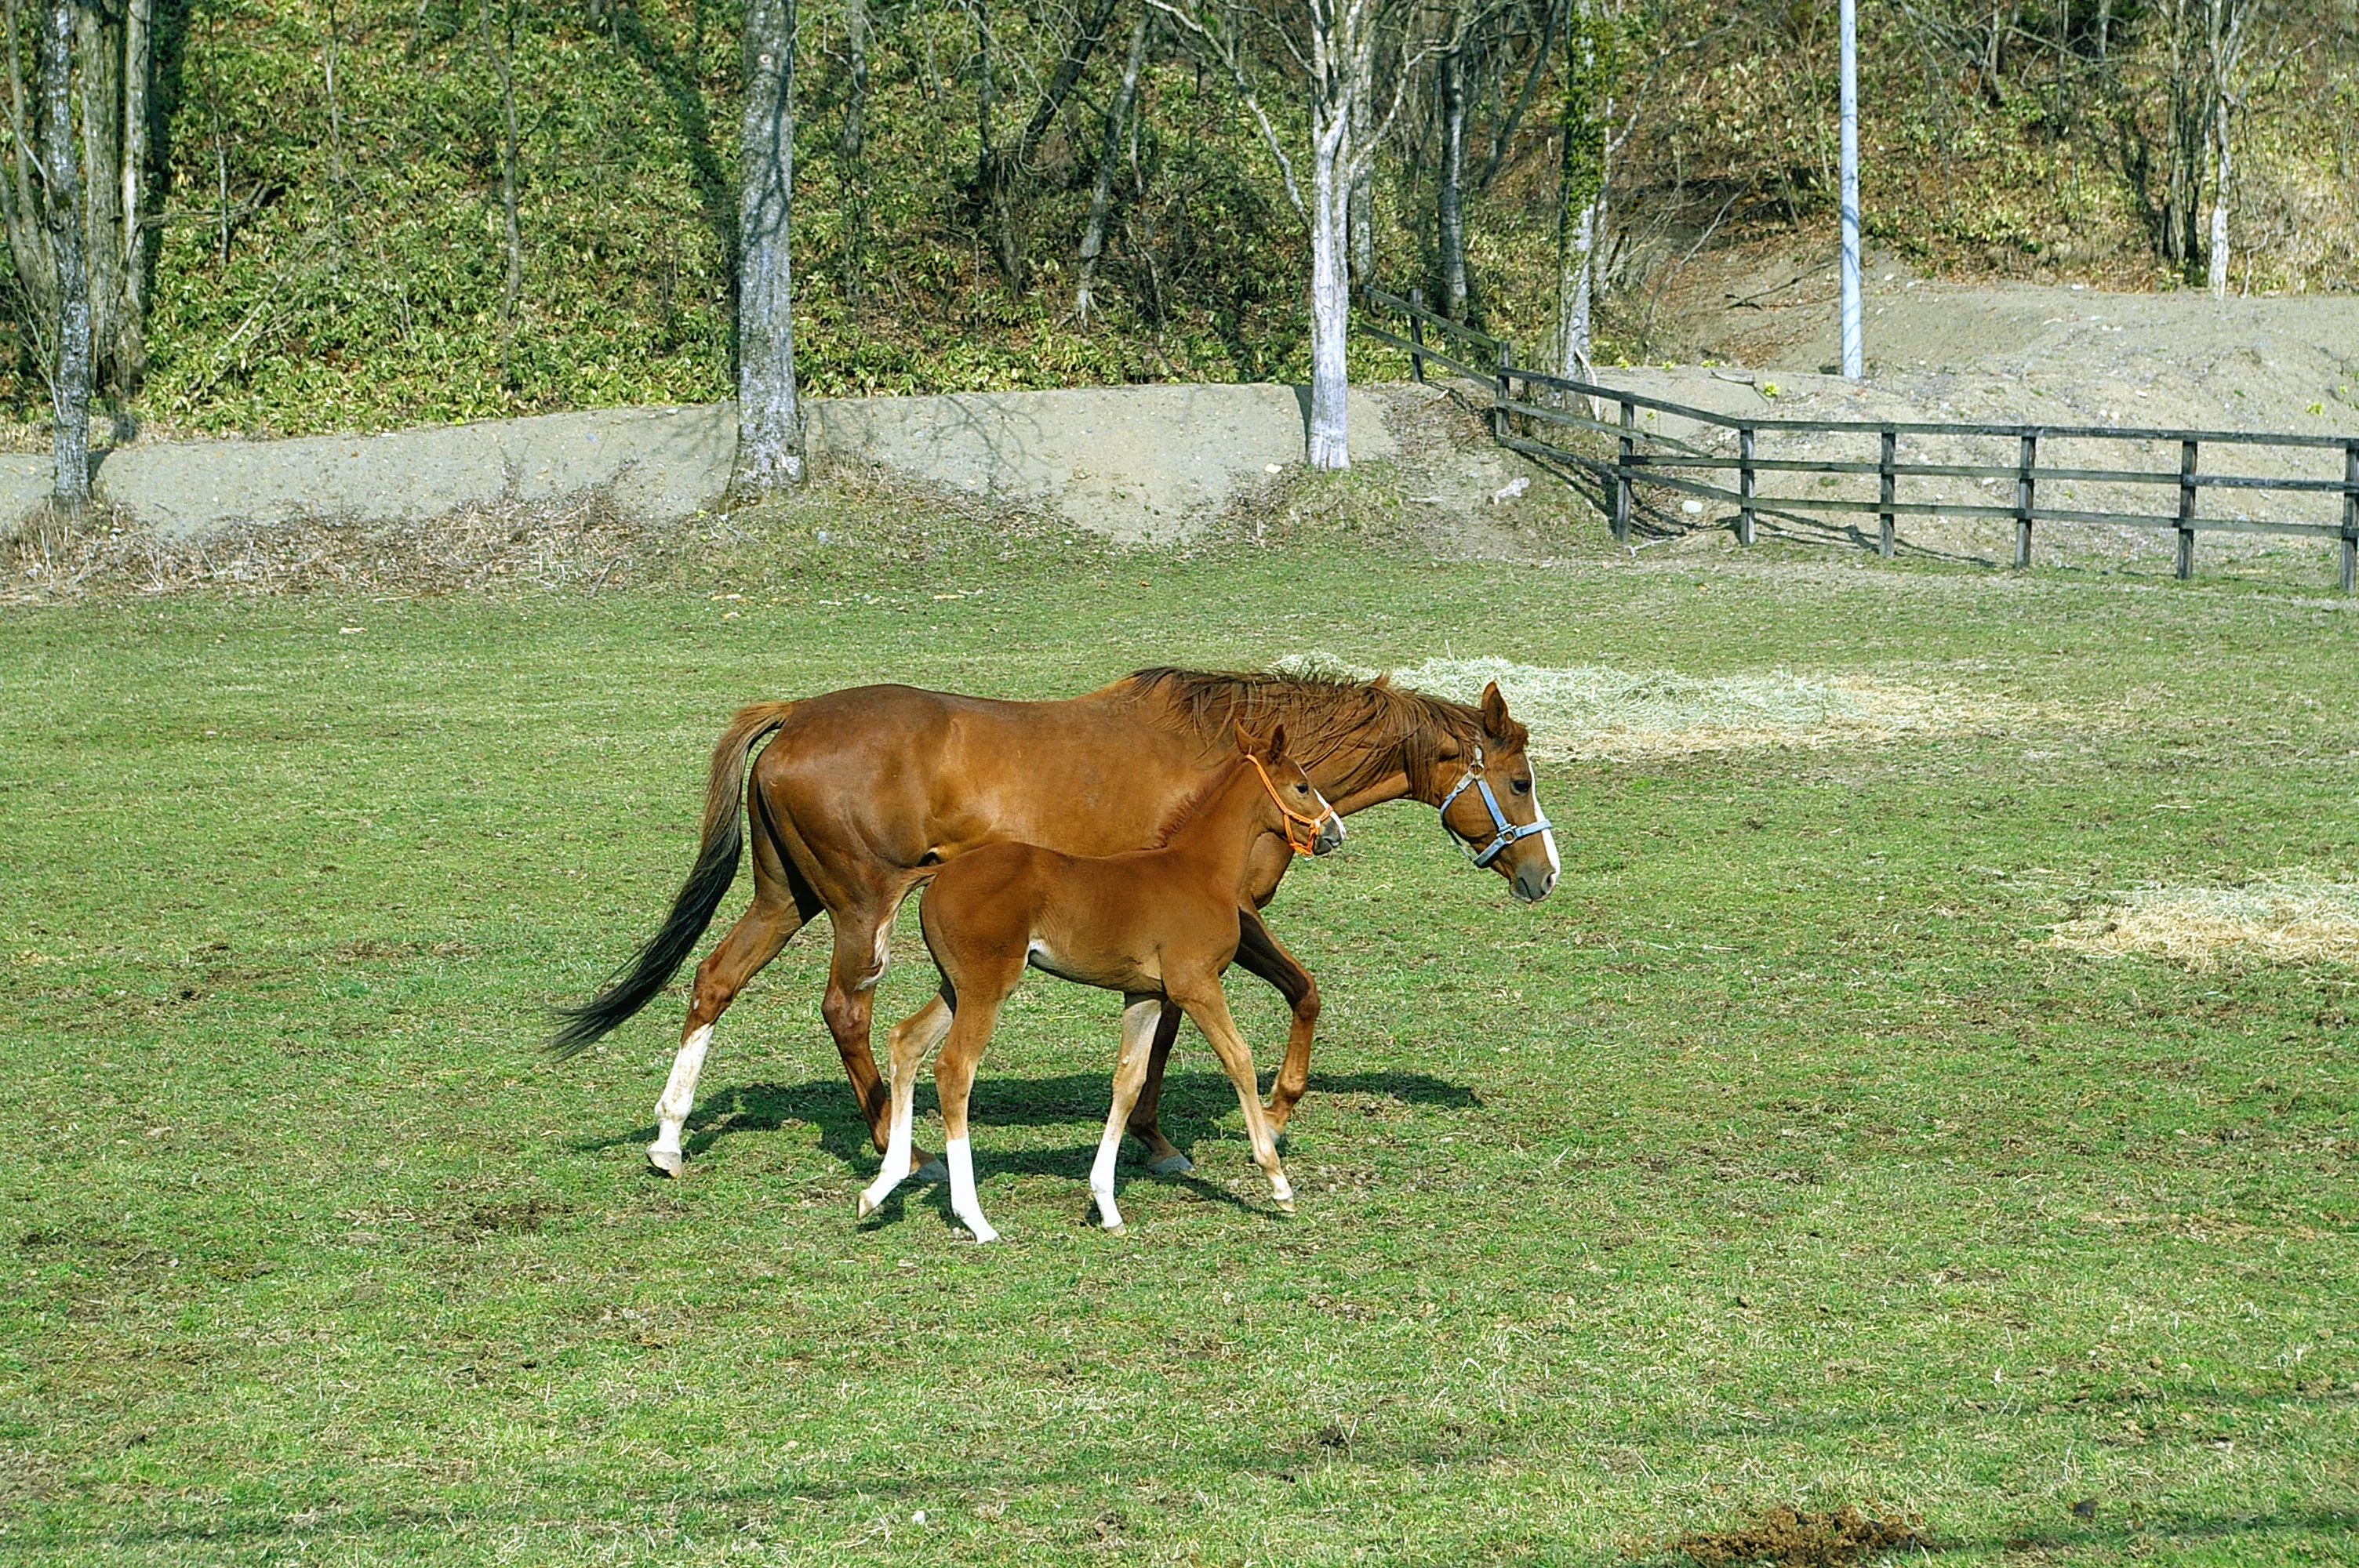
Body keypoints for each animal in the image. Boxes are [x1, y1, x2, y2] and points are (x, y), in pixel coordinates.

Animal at [550, 666, 1557, 1178]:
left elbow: (1212, 1015)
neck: (1234, 766)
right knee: (847, 1012)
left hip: (782, 898)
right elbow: (1270, 1002)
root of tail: (796, 713)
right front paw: (1244, 1111)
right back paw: (891, 1141)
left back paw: (670, 1137)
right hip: (860, 907)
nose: (1544, 873)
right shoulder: (1222, 920)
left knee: (713, 980)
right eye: (1517, 780)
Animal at [858, 723, 1345, 1241]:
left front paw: (1107, 1205)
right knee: (954, 1070)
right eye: (1302, 785)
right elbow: (1240, 1060)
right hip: (987, 987)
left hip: (956, 986)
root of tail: (939, 872)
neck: (1199, 871)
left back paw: (880, 1188)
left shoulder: (1146, 994)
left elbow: (1128, 1082)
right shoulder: (1196, 985)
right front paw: (1277, 1180)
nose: (1335, 833)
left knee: (906, 1041)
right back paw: (975, 1218)